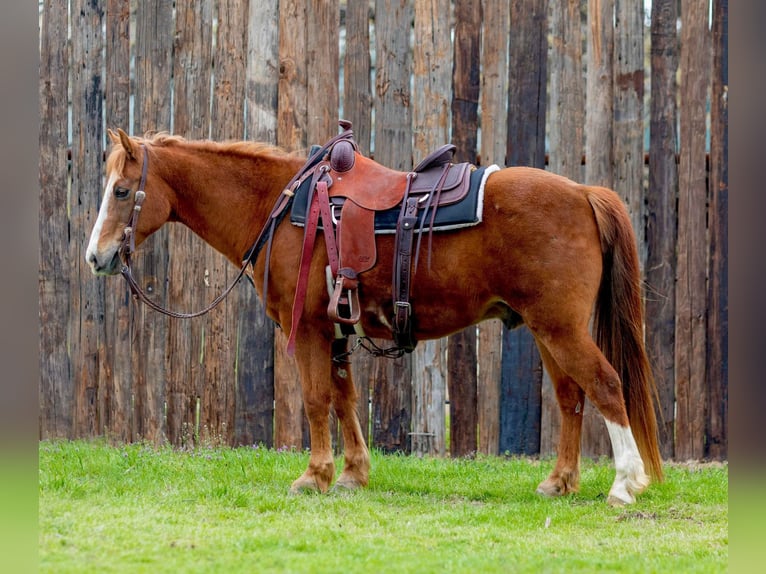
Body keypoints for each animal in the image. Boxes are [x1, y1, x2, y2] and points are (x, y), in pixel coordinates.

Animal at [85, 128, 664, 506]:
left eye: (121, 190)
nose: (96, 257)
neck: (283, 207)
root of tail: (584, 194)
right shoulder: (337, 329)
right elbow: (343, 399)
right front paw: (352, 474)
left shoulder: (308, 329)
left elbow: (316, 400)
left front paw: (314, 476)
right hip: (548, 329)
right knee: (571, 398)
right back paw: (559, 481)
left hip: (560, 328)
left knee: (606, 386)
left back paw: (624, 484)